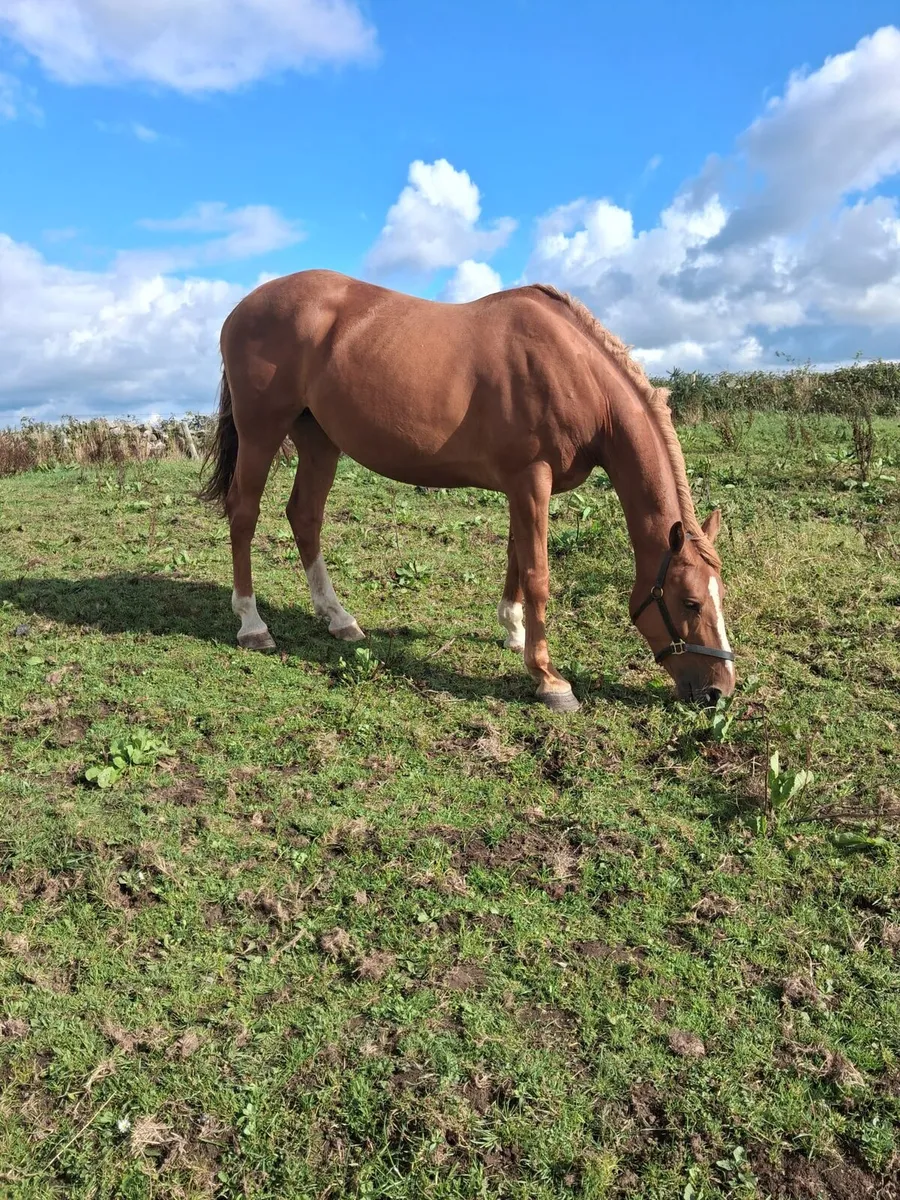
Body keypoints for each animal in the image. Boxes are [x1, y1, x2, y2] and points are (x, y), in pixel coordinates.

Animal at [200, 270, 735, 712]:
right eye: (690, 602)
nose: (718, 691)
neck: (572, 370)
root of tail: (241, 308)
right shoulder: (531, 479)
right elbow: (538, 573)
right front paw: (549, 679)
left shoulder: (523, 487)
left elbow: (517, 557)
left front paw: (515, 633)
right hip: (262, 431)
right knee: (244, 513)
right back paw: (252, 625)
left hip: (318, 439)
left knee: (305, 516)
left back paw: (339, 618)